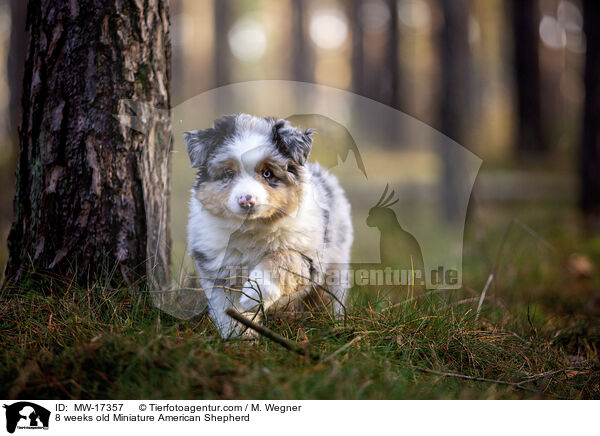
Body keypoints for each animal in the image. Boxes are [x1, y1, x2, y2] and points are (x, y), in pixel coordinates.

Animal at [185, 113, 354, 338]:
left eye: (267, 173)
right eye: (228, 173)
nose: (246, 201)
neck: (253, 228)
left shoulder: (309, 255)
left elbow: (283, 258)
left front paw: (253, 293)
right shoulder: (218, 269)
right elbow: (229, 309)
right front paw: (240, 339)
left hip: (336, 264)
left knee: (331, 296)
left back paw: (334, 323)